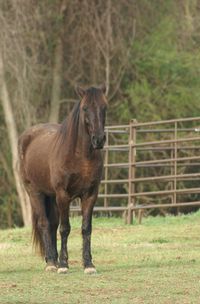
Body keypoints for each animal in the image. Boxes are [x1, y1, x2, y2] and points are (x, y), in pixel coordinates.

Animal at [18, 85, 107, 274]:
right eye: (85, 108)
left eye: (105, 107)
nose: (99, 139)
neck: (80, 156)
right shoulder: (63, 195)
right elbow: (65, 228)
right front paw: (64, 264)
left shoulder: (90, 195)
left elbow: (86, 228)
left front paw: (88, 264)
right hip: (35, 193)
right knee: (45, 223)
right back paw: (52, 262)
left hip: (51, 196)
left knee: (52, 224)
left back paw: (52, 259)